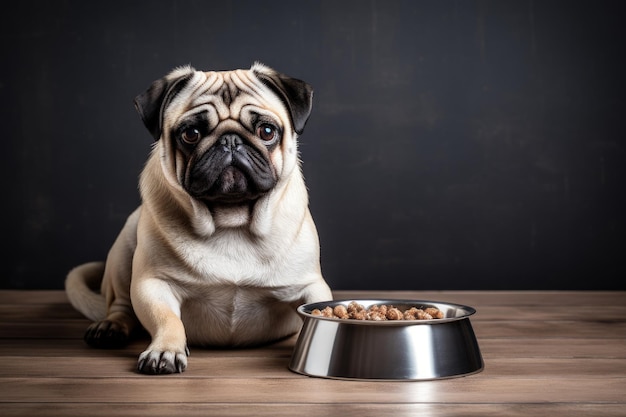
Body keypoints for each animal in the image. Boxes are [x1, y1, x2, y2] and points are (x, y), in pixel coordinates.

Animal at [64, 63, 332, 376]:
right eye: (191, 133)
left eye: (266, 131)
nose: (230, 140)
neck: (231, 221)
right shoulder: (152, 285)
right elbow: (167, 319)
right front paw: (165, 350)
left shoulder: (311, 286)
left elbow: (318, 305)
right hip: (123, 250)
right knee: (120, 305)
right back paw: (110, 327)